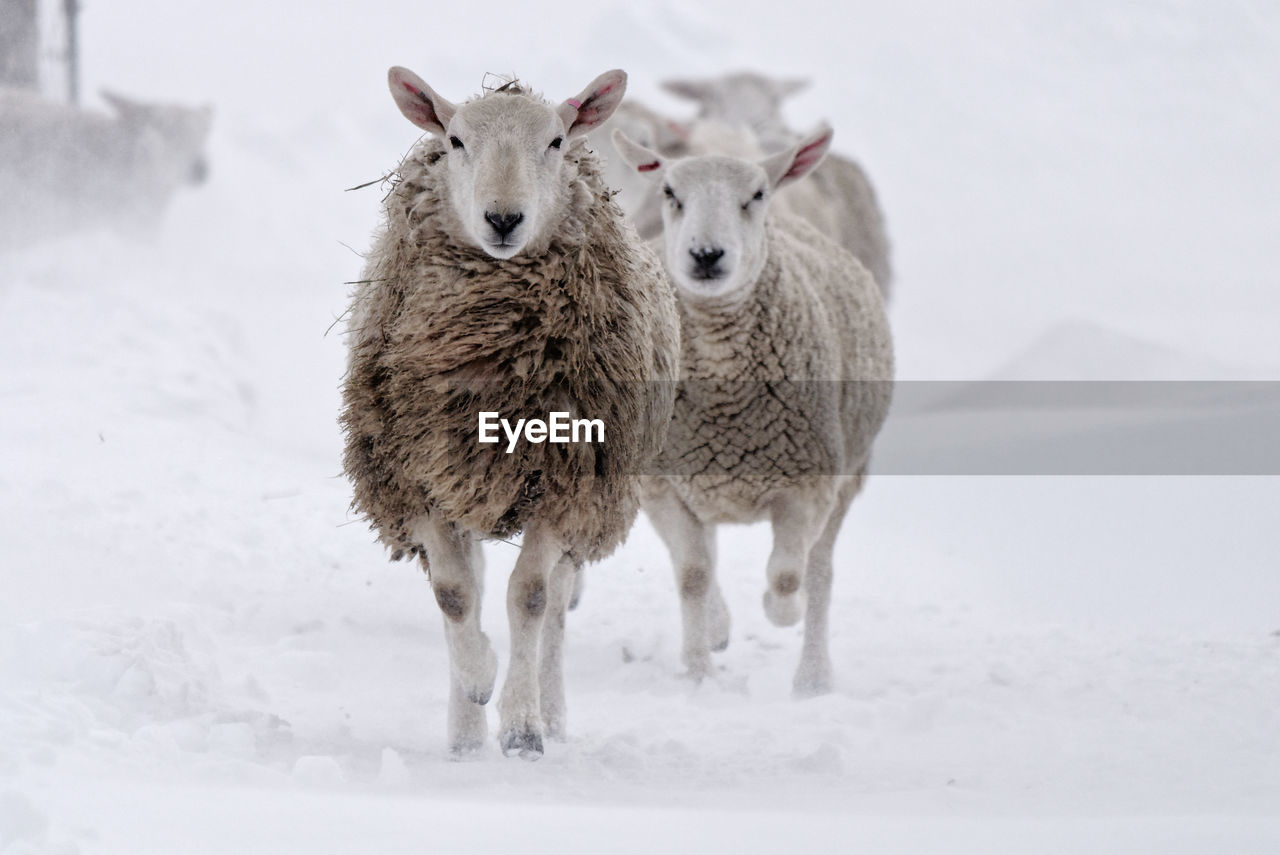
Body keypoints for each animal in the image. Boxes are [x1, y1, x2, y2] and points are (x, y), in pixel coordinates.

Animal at [340, 68, 680, 762]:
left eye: (555, 141)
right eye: (455, 140)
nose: (503, 218)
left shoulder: (563, 478)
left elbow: (529, 597)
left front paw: (523, 725)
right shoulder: (417, 474)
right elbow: (453, 594)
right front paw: (476, 686)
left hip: (590, 499)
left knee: (555, 601)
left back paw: (550, 714)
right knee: (471, 578)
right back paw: (467, 729)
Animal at [614, 123, 896, 696]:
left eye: (757, 194)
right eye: (670, 193)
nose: (706, 254)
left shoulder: (808, 483)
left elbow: (788, 576)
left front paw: (780, 611)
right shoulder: (663, 484)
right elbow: (693, 574)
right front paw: (699, 671)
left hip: (847, 474)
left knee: (820, 570)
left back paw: (813, 677)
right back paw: (720, 626)